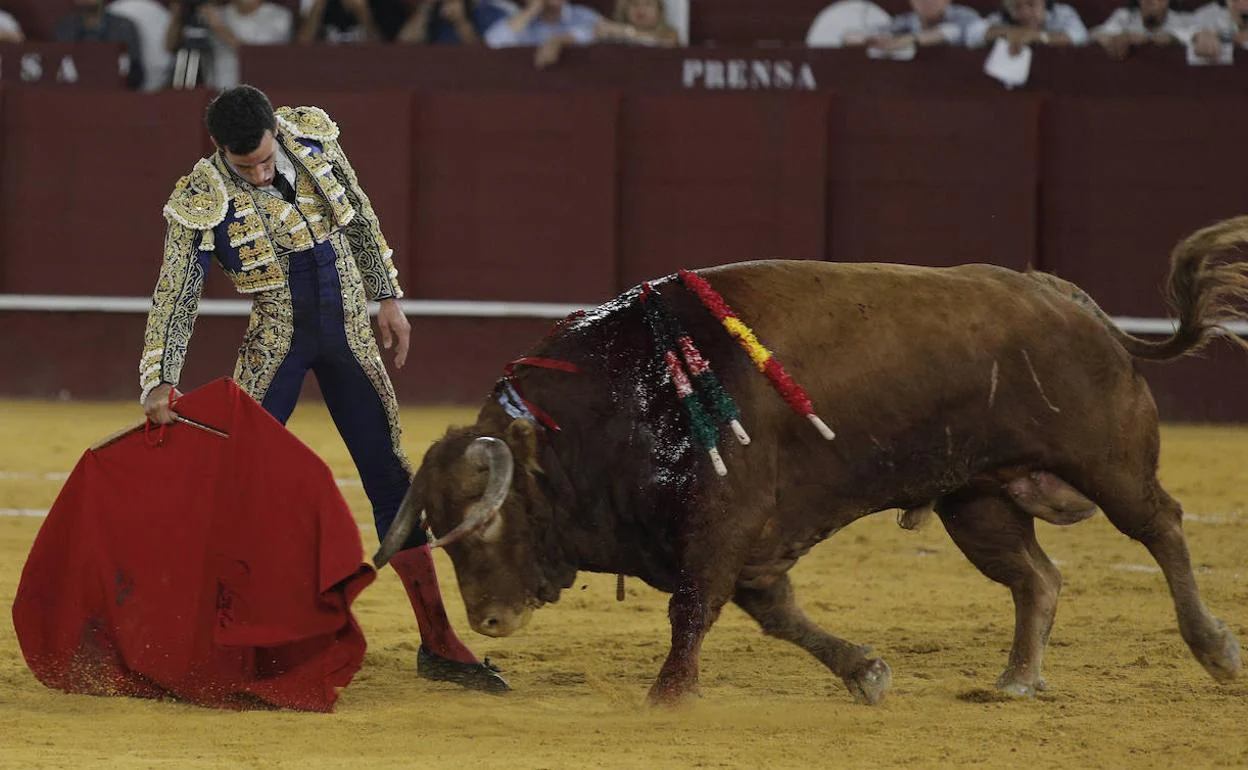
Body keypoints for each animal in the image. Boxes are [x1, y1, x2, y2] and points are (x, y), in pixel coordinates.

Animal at [371, 213, 1248, 703]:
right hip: (977, 496)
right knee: (1037, 577)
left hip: (1108, 459)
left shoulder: (722, 524)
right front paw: (865, 672)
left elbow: (695, 609)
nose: (488, 621)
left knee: (1163, 527)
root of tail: (1071, 301)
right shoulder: (741, 546)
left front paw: (668, 695)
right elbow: (778, 614)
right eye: (436, 530)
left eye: (487, 525)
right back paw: (1017, 681)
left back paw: (1214, 650)